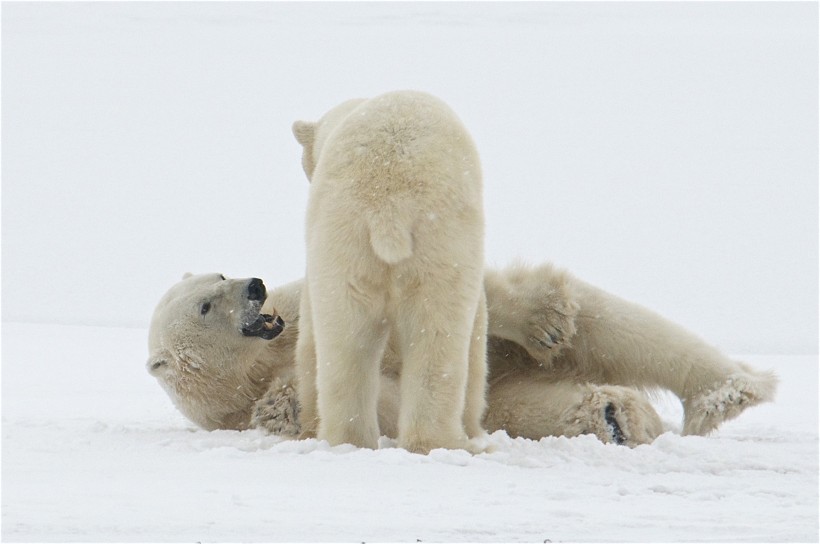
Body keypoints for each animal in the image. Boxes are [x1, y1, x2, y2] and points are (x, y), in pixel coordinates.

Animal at [149, 262, 780, 446]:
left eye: (220, 273)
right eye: (206, 305)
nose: (255, 285)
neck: (251, 373)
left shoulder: (301, 312)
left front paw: (541, 319)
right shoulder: (231, 415)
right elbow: (375, 404)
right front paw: (285, 409)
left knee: (616, 326)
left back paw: (728, 392)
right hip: (505, 392)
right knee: (526, 409)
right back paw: (613, 416)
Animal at [294, 91, 490, 452]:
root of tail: (388, 202)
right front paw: (475, 428)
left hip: (346, 245)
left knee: (346, 342)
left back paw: (353, 441)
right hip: (440, 246)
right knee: (437, 334)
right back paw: (445, 442)